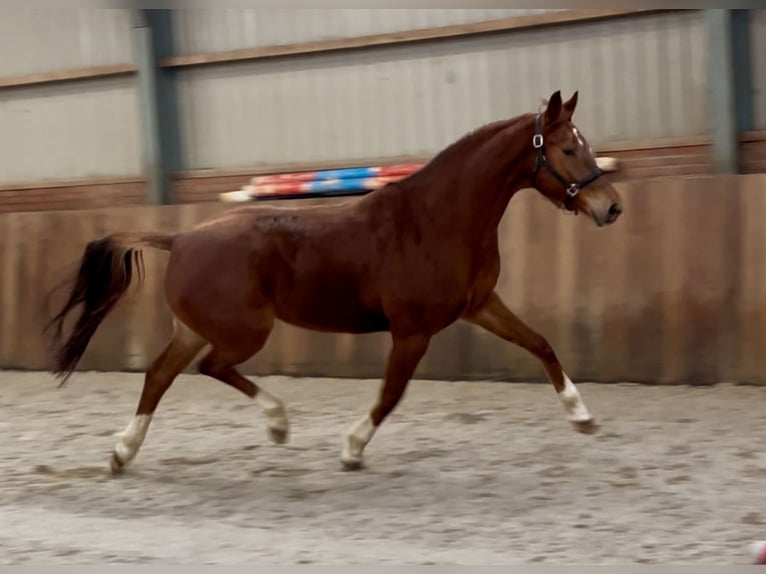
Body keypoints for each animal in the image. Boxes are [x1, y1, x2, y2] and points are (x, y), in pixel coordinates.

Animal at [46, 91, 624, 476]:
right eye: (567, 149)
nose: (612, 207)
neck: (437, 220)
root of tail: (181, 238)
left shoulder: (480, 304)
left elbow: (540, 343)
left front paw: (582, 416)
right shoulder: (412, 331)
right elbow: (390, 394)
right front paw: (351, 447)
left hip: (195, 328)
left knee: (159, 374)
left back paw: (123, 452)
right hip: (243, 331)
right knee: (209, 367)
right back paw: (277, 423)